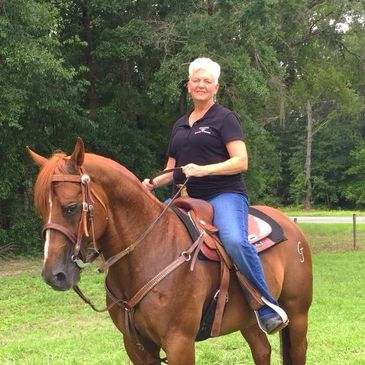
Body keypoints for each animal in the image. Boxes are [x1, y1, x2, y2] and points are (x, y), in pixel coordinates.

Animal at [29, 136, 312, 364]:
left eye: (71, 207)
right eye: (41, 208)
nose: (53, 275)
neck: (147, 253)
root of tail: (291, 225)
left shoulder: (179, 343)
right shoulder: (137, 347)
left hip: (297, 316)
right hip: (248, 321)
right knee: (262, 350)